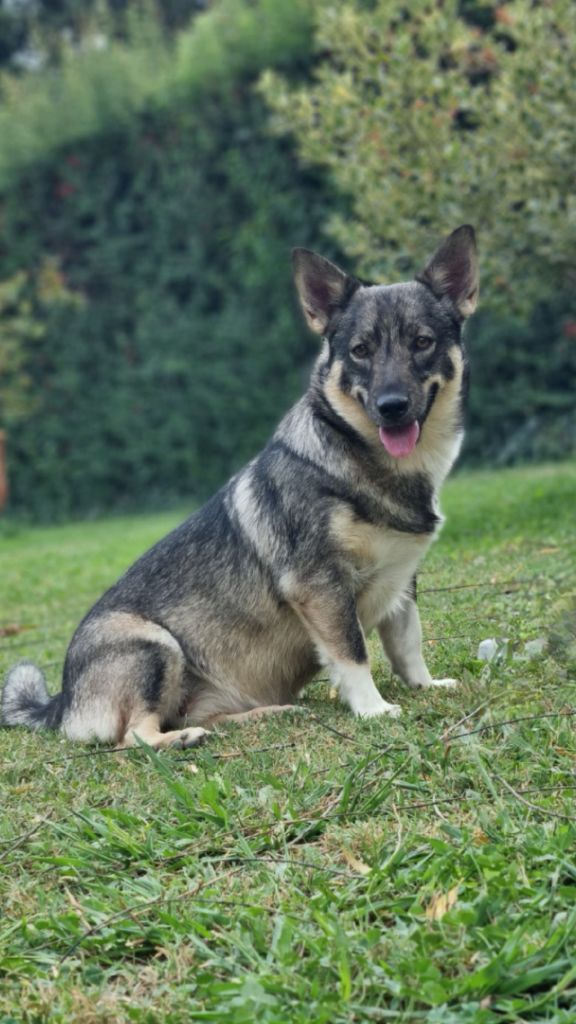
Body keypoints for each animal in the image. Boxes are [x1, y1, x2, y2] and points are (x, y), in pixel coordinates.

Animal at [1, 226, 475, 745]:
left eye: (422, 342)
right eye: (360, 350)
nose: (392, 407)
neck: (364, 462)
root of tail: (61, 702)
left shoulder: (402, 583)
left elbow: (408, 644)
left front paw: (425, 686)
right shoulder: (321, 586)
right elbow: (353, 654)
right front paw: (373, 709)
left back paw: (270, 714)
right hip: (154, 645)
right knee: (135, 736)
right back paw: (180, 739)